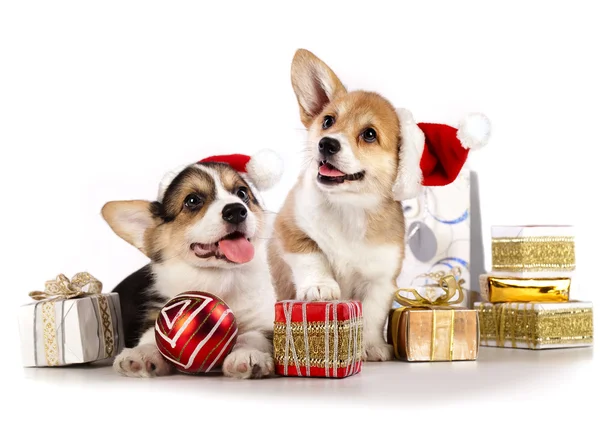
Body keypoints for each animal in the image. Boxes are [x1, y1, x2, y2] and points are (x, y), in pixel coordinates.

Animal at [102, 152, 282, 380]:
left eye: (242, 193)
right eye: (192, 200)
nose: (236, 210)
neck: (217, 278)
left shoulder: (264, 318)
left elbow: (254, 335)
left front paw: (248, 355)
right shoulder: (158, 309)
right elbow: (152, 335)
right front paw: (142, 354)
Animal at [268, 49, 406, 362]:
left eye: (369, 134)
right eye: (328, 121)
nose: (327, 144)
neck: (348, 207)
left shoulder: (382, 279)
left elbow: (372, 314)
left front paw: (370, 345)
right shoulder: (289, 228)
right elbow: (312, 255)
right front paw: (320, 285)